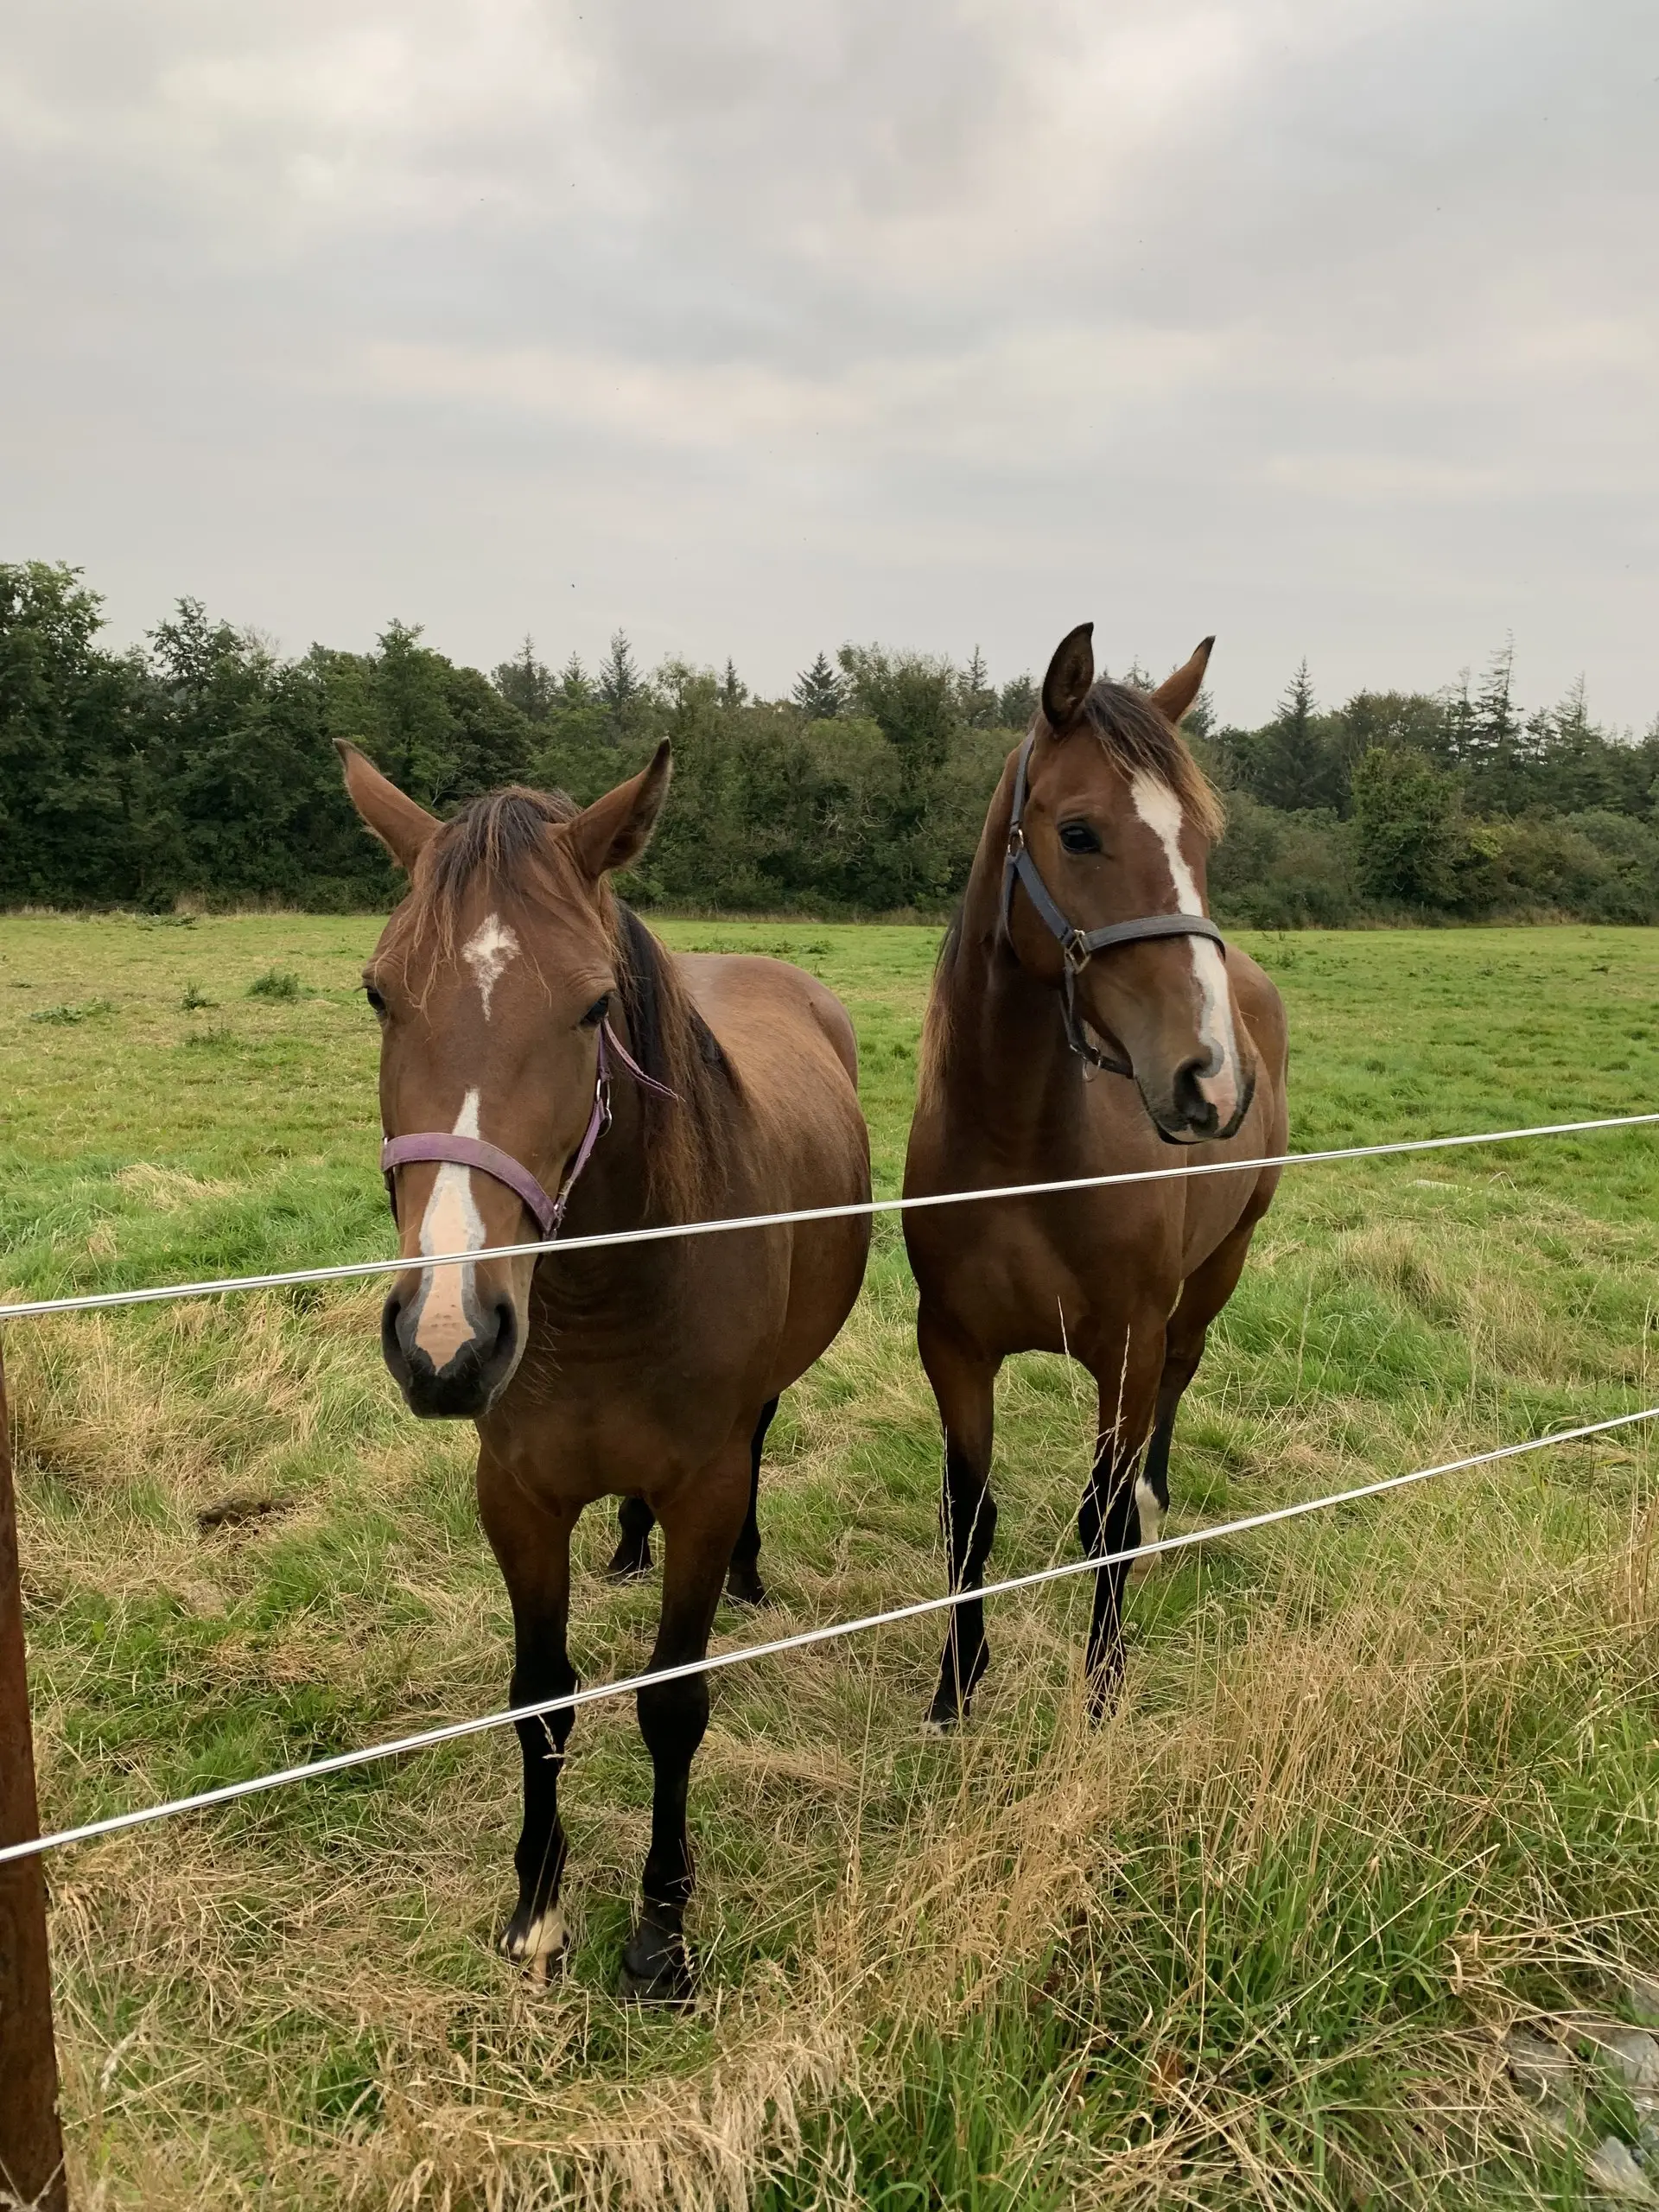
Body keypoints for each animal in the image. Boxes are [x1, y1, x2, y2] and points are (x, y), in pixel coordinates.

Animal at [337, 738, 871, 2002]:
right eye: (380, 993)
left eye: (590, 1007)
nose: (445, 1340)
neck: (600, 1297)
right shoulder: (517, 1496)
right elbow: (541, 1697)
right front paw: (536, 1909)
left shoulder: (705, 1487)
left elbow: (672, 1703)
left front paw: (660, 1928)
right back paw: (626, 1545)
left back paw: (751, 1573)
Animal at [903, 623, 1288, 1725]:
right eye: (1078, 834)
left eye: (1202, 844)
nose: (1210, 1077)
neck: (1022, 1154)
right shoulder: (953, 1348)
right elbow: (969, 1518)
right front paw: (955, 1690)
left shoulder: (1126, 1345)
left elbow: (1104, 1524)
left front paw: (1103, 1694)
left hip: (1216, 1272)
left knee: (1179, 1385)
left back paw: (1159, 1509)